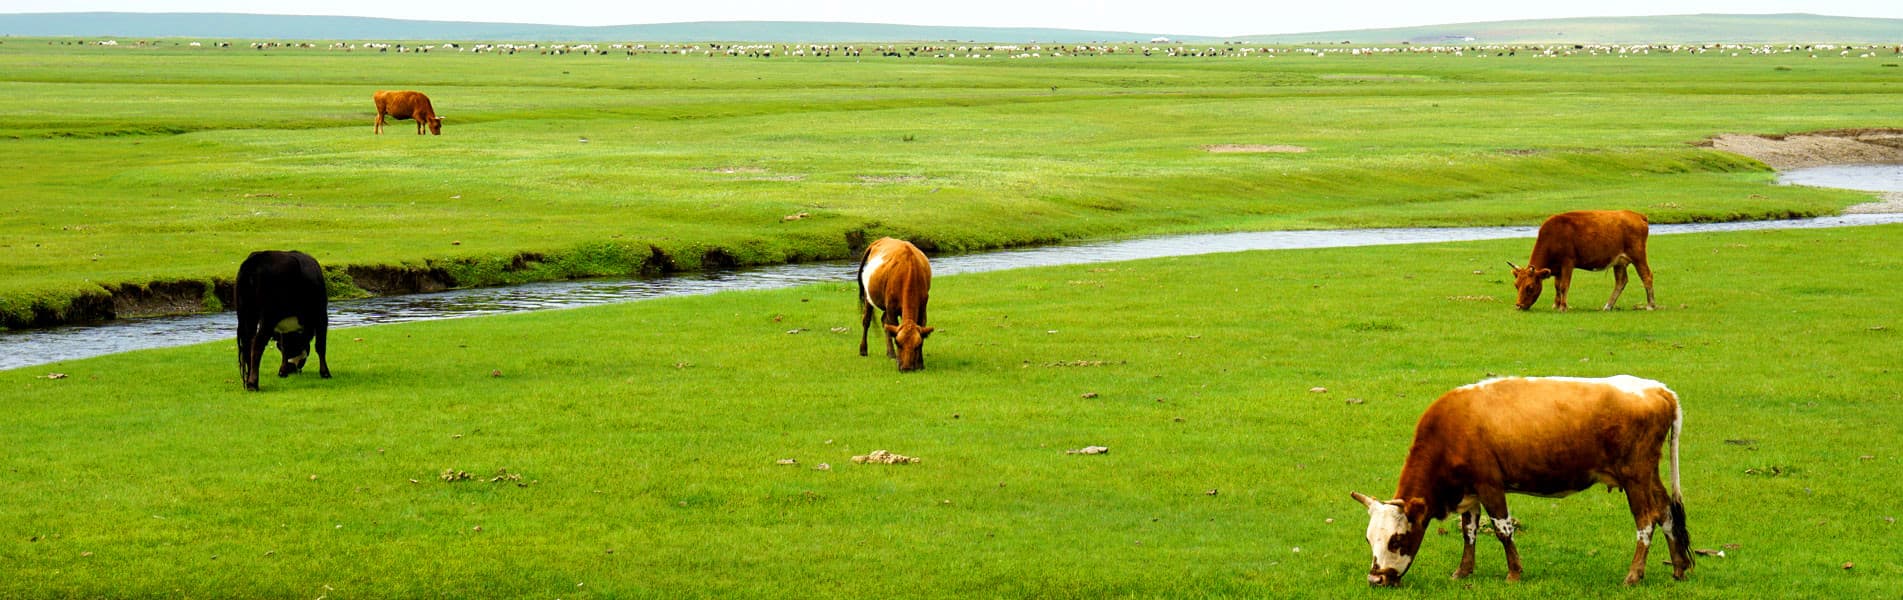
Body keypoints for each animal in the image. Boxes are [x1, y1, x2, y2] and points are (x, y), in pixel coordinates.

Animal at [235, 251, 333, 392]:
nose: (292, 369)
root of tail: (255, 259)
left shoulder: (284, 330)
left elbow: (285, 346)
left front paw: (283, 371)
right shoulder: (321, 315)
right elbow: (320, 346)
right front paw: (325, 373)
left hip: (247, 314)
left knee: (247, 343)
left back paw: (248, 380)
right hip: (268, 317)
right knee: (257, 344)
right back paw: (253, 383)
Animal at [860, 239, 932, 371]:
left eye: (917, 345)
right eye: (898, 343)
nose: (906, 368)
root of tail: (882, 239)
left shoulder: (923, 307)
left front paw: (920, 363)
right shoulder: (891, 308)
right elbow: (892, 328)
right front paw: (899, 361)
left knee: (884, 321)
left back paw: (890, 353)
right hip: (868, 296)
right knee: (866, 320)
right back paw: (863, 350)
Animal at [1354, 377, 1697, 586]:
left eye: (1396, 540)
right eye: (1370, 539)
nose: (1375, 580)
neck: (1451, 429)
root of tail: (1658, 389)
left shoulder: (1490, 485)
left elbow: (1503, 529)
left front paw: (1514, 573)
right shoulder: (1470, 492)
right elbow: (1469, 532)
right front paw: (1463, 571)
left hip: (1635, 475)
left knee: (1646, 521)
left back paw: (1634, 574)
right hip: (1649, 475)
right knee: (1666, 513)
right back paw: (1679, 567)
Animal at [1507, 211, 1659, 312]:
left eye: (1530, 287)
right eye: (1516, 285)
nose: (1518, 306)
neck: (1554, 235)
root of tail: (1638, 215)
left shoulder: (1568, 264)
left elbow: (1564, 286)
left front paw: (1563, 307)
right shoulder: (1557, 269)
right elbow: (1557, 286)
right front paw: (1556, 305)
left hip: (1638, 257)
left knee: (1646, 276)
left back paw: (1650, 305)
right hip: (1619, 262)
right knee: (1621, 282)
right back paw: (1608, 306)